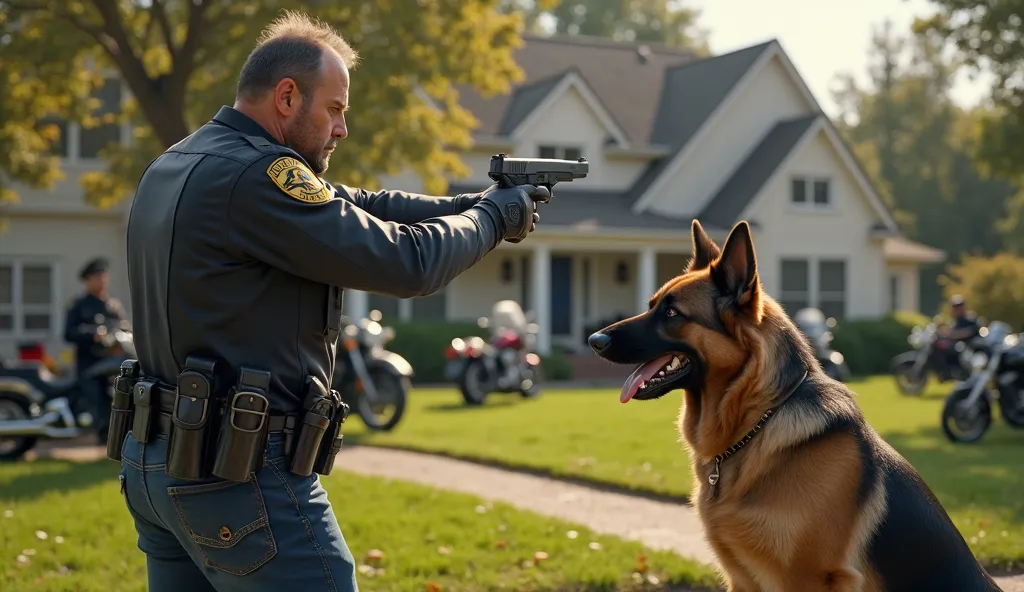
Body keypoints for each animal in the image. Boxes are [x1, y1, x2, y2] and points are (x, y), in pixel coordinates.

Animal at [589, 219, 995, 585]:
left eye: (672, 313)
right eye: (652, 305)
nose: (594, 340)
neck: (759, 421)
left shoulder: (808, 576)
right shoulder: (742, 578)